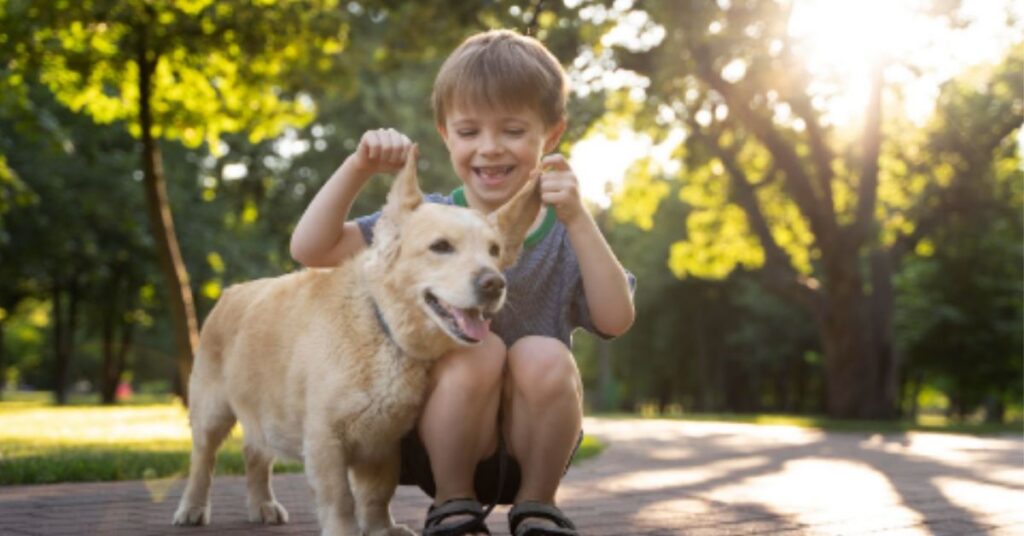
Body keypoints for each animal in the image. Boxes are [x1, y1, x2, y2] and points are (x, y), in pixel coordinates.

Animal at [174, 146, 544, 536]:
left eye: (494, 251)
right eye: (441, 247)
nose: (494, 284)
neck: (383, 327)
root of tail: (231, 291)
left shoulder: (384, 442)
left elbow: (377, 494)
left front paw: (382, 528)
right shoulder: (324, 439)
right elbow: (340, 498)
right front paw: (345, 529)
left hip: (264, 416)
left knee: (254, 454)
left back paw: (263, 505)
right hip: (210, 411)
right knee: (202, 461)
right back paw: (192, 508)